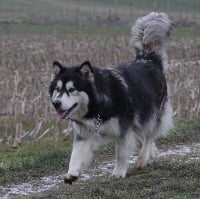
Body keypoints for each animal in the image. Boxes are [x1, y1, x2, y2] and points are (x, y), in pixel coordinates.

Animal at [48, 12, 173, 184]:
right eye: (57, 89)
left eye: (72, 89)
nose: (56, 104)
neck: (97, 105)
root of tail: (148, 60)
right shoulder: (83, 135)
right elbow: (75, 156)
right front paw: (71, 173)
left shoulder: (123, 132)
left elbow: (121, 154)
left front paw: (118, 173)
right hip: (137, 120)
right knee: (147, 137)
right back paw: (151, 154)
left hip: (149, 115)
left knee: (148, 136)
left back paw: (142, 158)